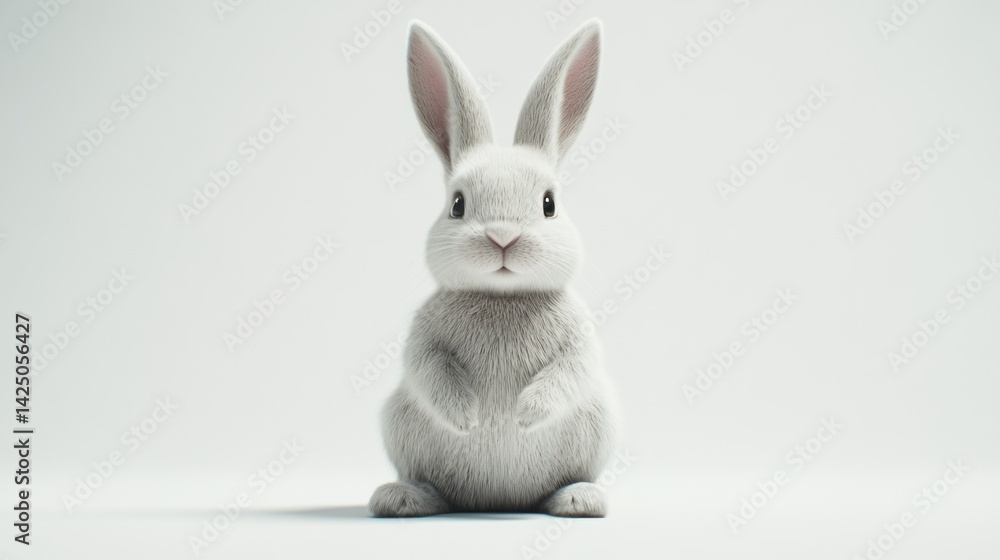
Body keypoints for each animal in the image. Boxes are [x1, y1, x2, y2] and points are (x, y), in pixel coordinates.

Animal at [368, 18, 620, 518]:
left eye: (549, 204)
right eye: (457, 205)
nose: (503, 237)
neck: (502, 296)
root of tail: (498, 499)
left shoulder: (578, 341)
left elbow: (569, 370)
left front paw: (524, 414)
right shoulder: (424, 341)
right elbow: (429, 369)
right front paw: (469, 417)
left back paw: (579, 498)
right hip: (400, 424)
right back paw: (403, 497)